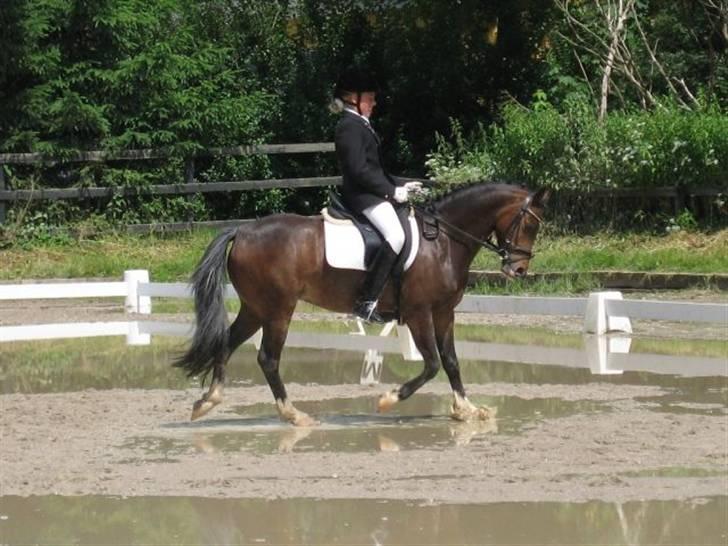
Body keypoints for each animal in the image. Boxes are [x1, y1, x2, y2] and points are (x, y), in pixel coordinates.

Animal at [175, 182, 550, 426]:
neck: (443, 241)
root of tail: (243, 230)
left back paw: (207, 402)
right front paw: (388, 399)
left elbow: (452, 362)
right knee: (268, 358)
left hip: (256, 307)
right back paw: (293, 415)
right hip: (279, 309)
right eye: (530, 223)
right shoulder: (418, 312)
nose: (518, 270)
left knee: (226, 342)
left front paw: (466, 409)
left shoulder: (444, 312)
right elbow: (431, 364)